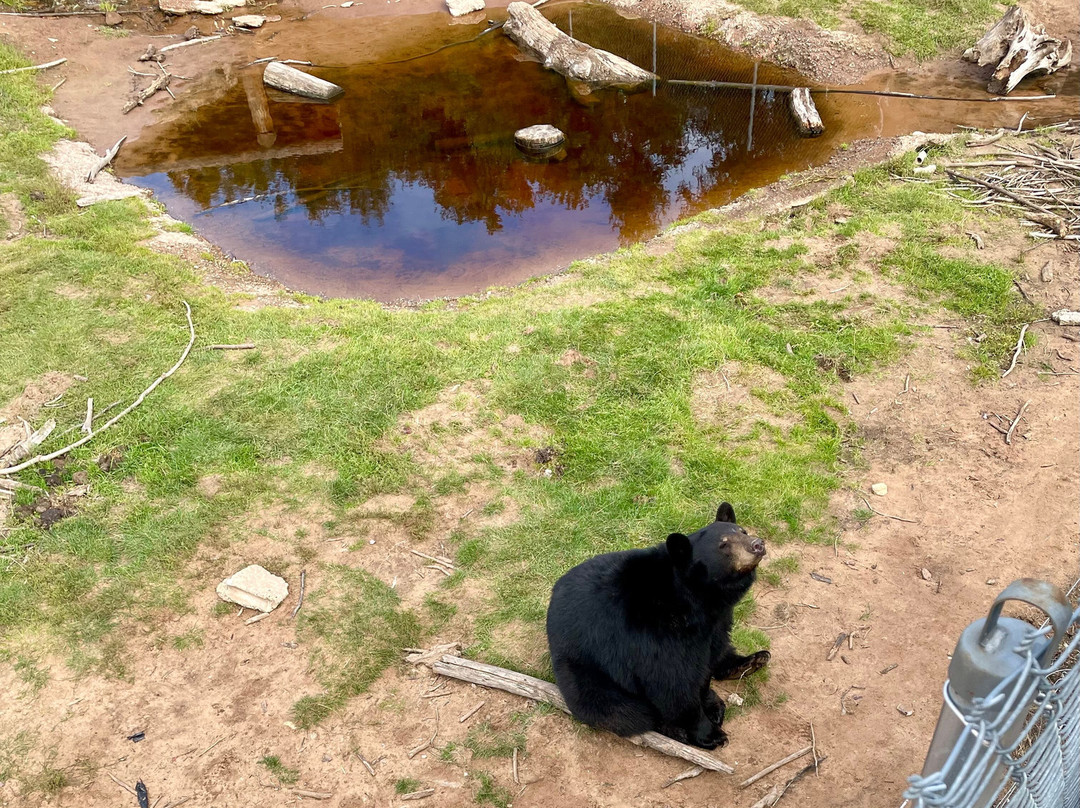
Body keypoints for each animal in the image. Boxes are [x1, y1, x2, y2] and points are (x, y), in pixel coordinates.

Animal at [545, 502, 769, 749]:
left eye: (742, 531)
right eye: (723, 545)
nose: (757, 544)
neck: (697, 599)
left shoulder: (716, 624)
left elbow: (706, 665)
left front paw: (712, 706)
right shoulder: (656, 633)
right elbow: (673, 684)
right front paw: (710, 734)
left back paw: (752, 661)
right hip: (584, 675)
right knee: (625, 712)